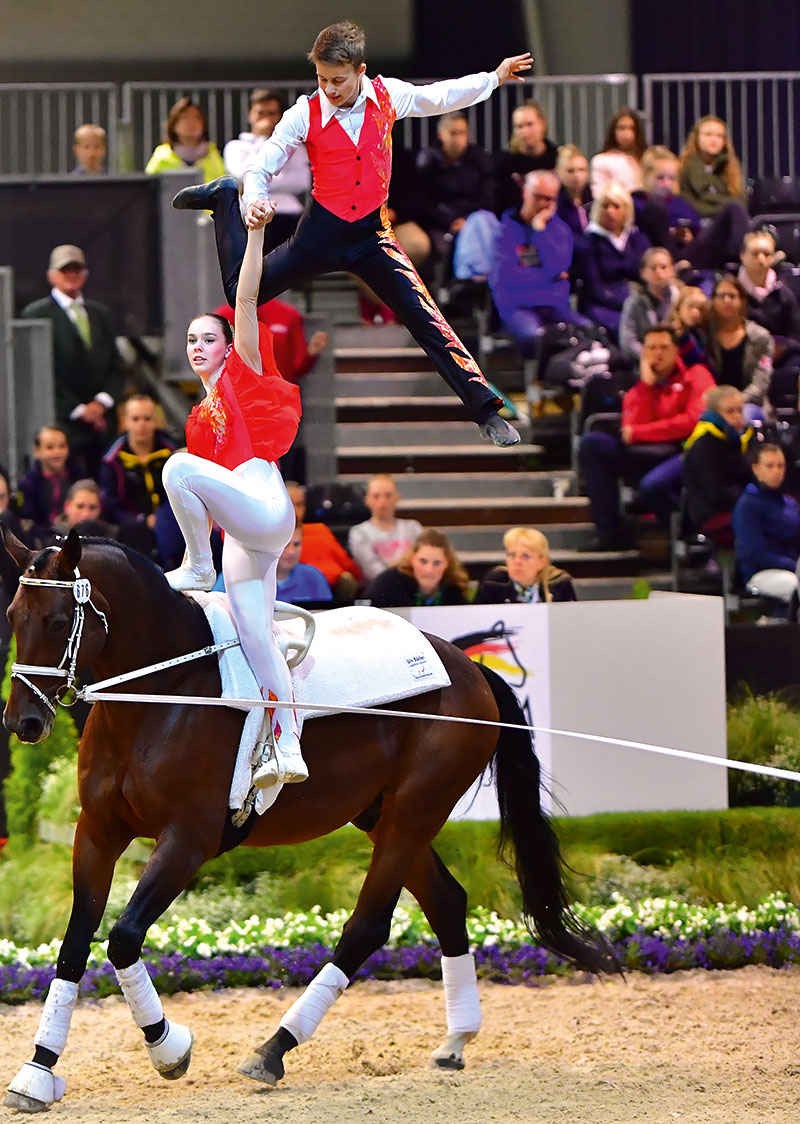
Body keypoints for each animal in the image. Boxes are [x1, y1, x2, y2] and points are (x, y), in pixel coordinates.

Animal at [0, 528, 615, 1115]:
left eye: (58, 621)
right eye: (11, 616)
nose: (22, 722)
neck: (164, 694)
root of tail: (468, 667)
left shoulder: (188, 840)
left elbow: (123, 938)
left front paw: (168, 1048)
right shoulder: (98, 831)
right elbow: (74, 942)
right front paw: (37, 1071)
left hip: (415, 811)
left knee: (368, 925)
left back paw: (275, 1048)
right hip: (385, 815)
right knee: (446, 901)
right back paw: (456, 1040)